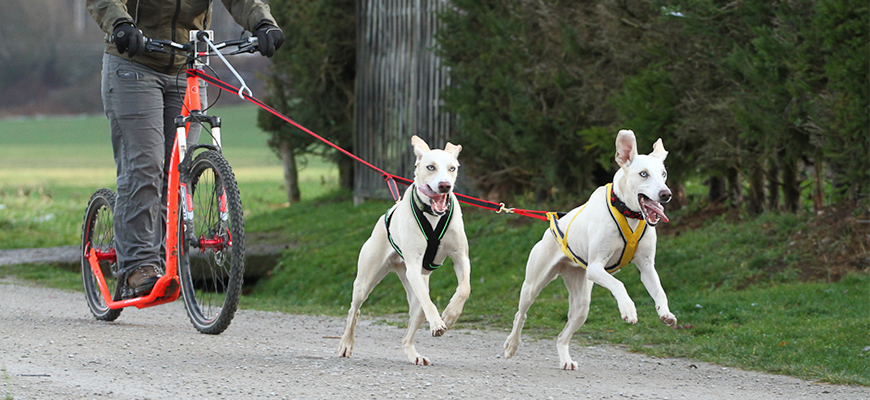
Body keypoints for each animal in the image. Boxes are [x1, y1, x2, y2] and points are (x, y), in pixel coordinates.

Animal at [338, 135, 470, 366]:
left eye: (452, 168)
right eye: (430, 167)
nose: (445, 185)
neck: (432, 215)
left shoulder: (461, 257)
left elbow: (465, 288)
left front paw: (451, 314)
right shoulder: (414, 267)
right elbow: (429, 302)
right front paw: (437, 322)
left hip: (415, 300)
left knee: (408, 333)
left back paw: (414, 355)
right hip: (366, 281)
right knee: (354, 310)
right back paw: (346, 343)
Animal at [504, 130, 680, 370]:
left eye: (663, 174)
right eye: (643, 174)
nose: (666, 194)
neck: (628, 213)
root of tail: (551, 225)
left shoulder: (646, 267)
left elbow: (659, 290)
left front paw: (666, 312)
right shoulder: (596, 267)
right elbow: (619, 284)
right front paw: (628, 309)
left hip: (582, 305)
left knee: (562, 336)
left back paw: (566, 360)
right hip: (532, 285)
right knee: (520, 315)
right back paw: (512, 345)